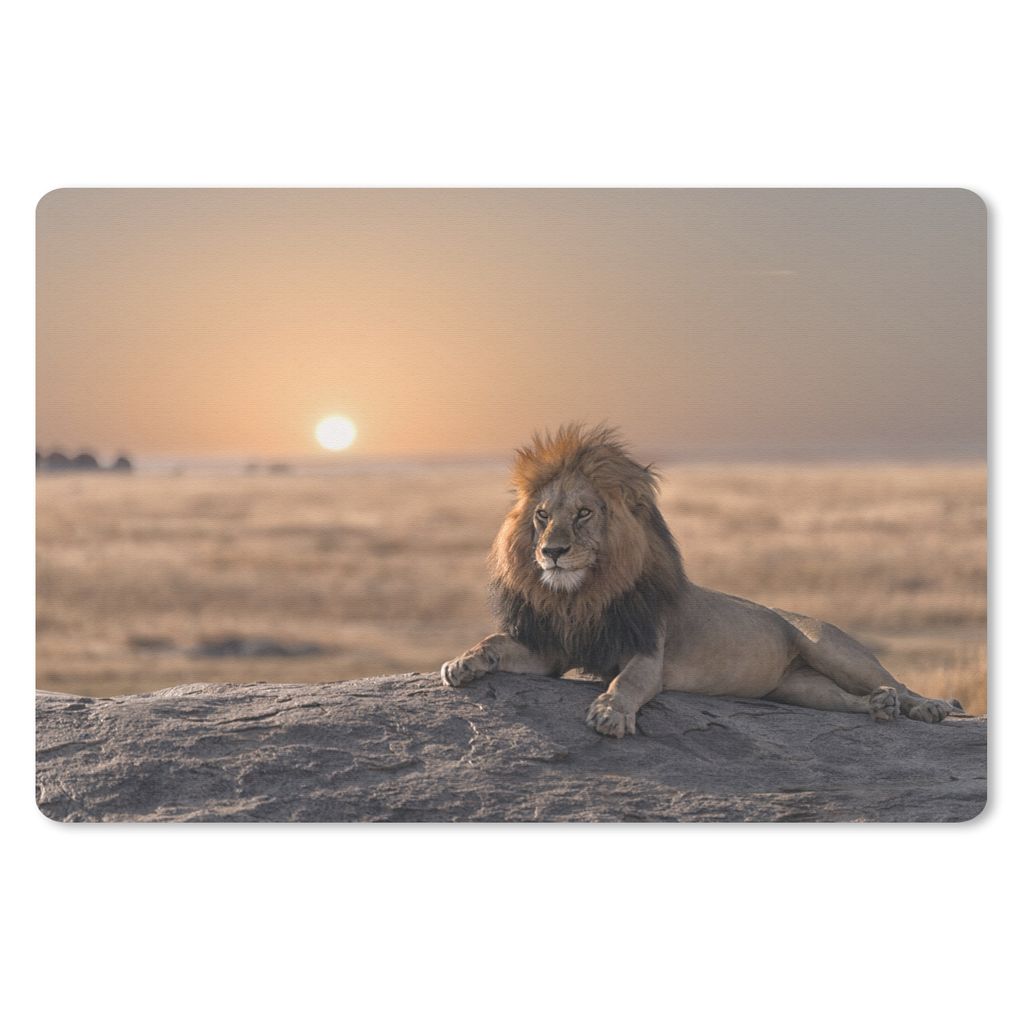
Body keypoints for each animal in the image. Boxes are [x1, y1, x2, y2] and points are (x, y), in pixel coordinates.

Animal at [441, 423, 962, 738]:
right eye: (543, 516)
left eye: (584, 513)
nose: (551, 551)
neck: (583, 595)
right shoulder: (552, 649)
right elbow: (496, 641)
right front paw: (463, 663)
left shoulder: (646, 653)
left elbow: (626, 682)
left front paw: (610, 712)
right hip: (796, 688)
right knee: (847, 700)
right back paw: (878, 707)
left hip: (831, 647)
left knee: (897, 681)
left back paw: (927, 707)